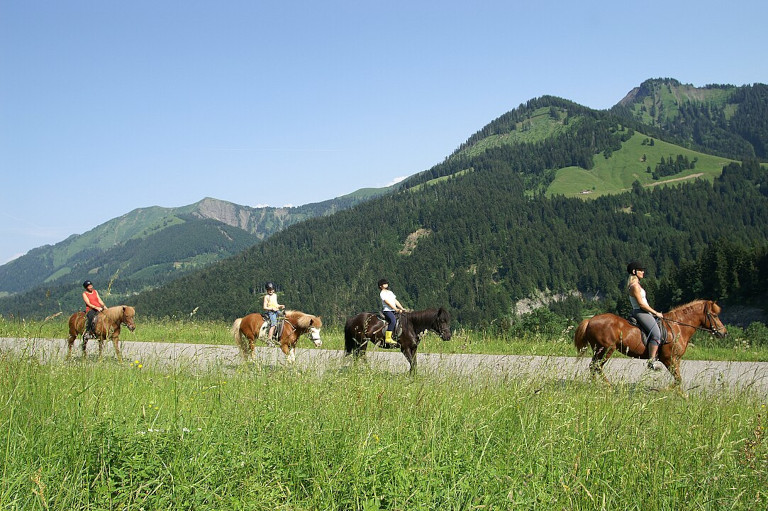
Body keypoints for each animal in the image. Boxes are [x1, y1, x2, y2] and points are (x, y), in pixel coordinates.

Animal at [574, 299, 726, 388]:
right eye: (714, 315)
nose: (724, 333)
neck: (678, 327)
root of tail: (590, 320)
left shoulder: (676, 359)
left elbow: (678, 380)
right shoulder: (668, 359)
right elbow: (678, 380)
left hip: (598, 350)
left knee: (593, 366)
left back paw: (594, 385)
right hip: (606, 349)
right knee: (597, 366)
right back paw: (608, 386)